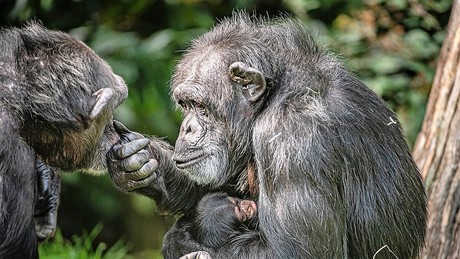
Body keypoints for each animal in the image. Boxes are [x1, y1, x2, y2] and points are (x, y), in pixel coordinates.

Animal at [108, 12, 428, 259]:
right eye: (185, 104)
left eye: (200, 106)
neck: (272, 98)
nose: (187, 127)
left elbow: (301, 253)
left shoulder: (292, 141)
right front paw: (141, 161)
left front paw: (180, 240)